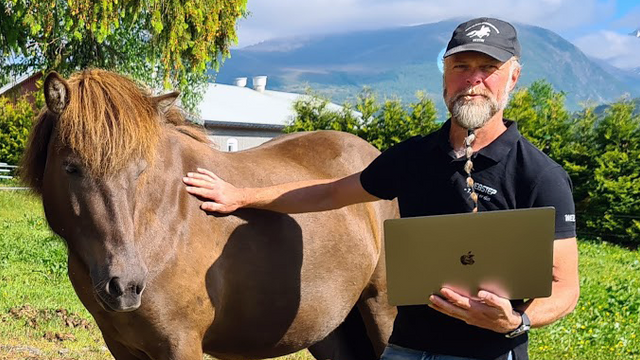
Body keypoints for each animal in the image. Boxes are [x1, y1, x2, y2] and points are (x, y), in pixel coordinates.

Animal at [22, 70, 398, 360]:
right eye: (72, 167)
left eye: (140, 169)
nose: (125, 285)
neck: (161, 225)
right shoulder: (121, 345)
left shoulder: (181, 344)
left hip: (382, 311)